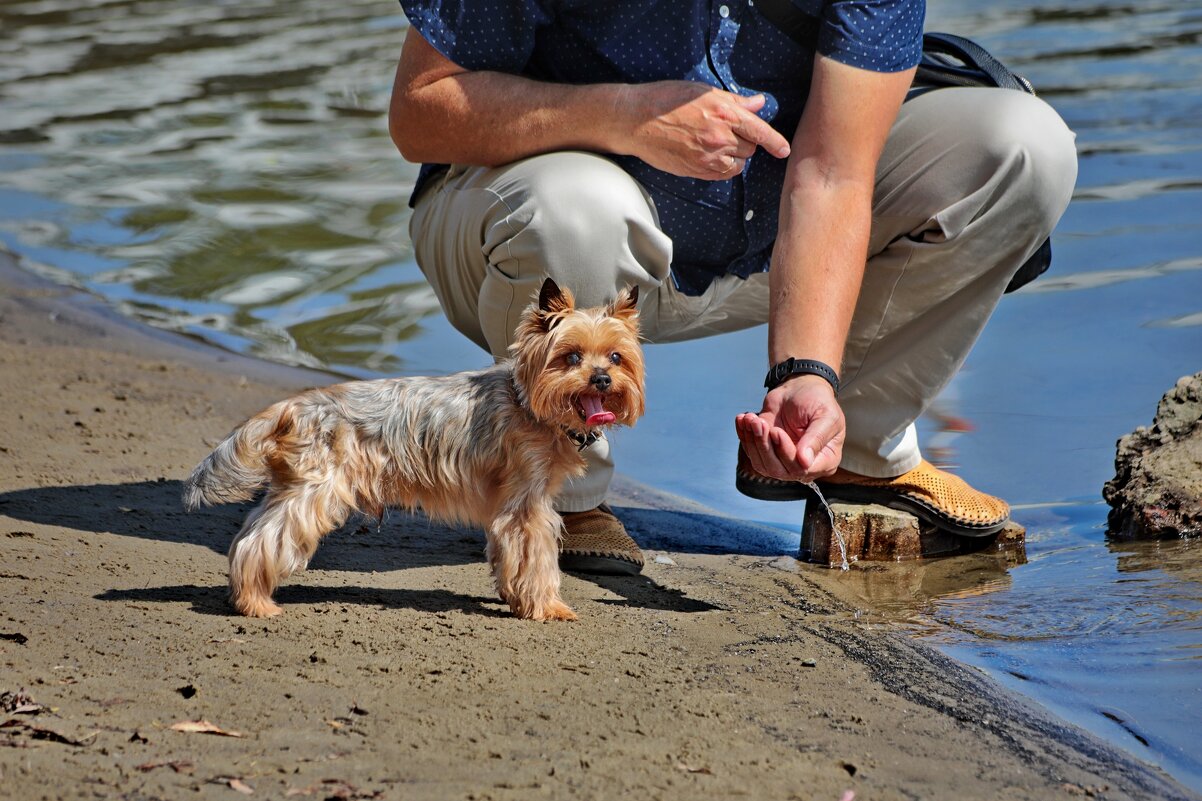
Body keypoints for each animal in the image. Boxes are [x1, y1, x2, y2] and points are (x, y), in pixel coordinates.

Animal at [181, 277, 644, 620]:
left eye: (616, 357)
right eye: (571, 357)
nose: (602, 379)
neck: (526, 402)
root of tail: (294, 407)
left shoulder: (512, 506)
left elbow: (507, 556)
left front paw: (514, 595)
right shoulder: (528, 506)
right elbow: (536, 557)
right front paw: (547, 606)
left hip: (291, 487)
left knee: (252, 530)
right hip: (317, 491)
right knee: (261, 542)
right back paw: (255, 603)